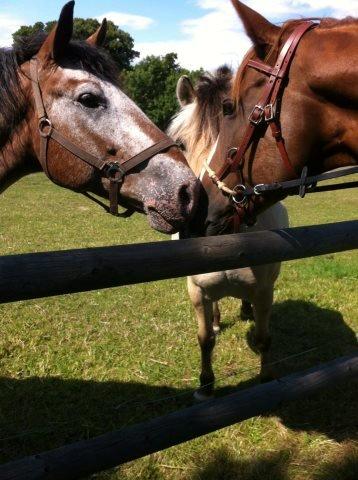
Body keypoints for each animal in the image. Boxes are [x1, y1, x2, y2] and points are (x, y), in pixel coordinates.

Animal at [169, 66, 290, 398]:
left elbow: (263, 338)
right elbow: (205, 340)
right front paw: (205, 385)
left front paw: (265, 378)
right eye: (181, 144)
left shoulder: (264, 291)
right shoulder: (197, 292)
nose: (198, 218)